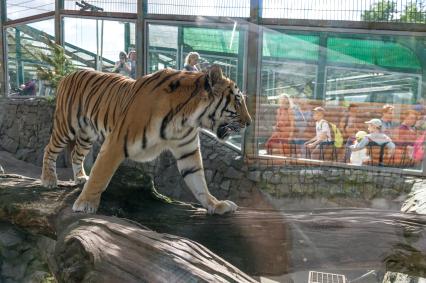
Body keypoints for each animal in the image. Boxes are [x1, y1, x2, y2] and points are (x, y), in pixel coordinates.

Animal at [40, 65, 251, 215]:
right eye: (238, 101)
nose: (249, 123)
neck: (187, 119)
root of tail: (67, 74)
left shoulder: (188, 151)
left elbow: (198, 182)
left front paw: (216, 205)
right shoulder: (115, 143)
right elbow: (100, 175)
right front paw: (85, 204)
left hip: (87, 135)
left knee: (76, 154)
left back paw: (80, 177)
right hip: (66, 127)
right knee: (49, 148)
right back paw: (49, 179)